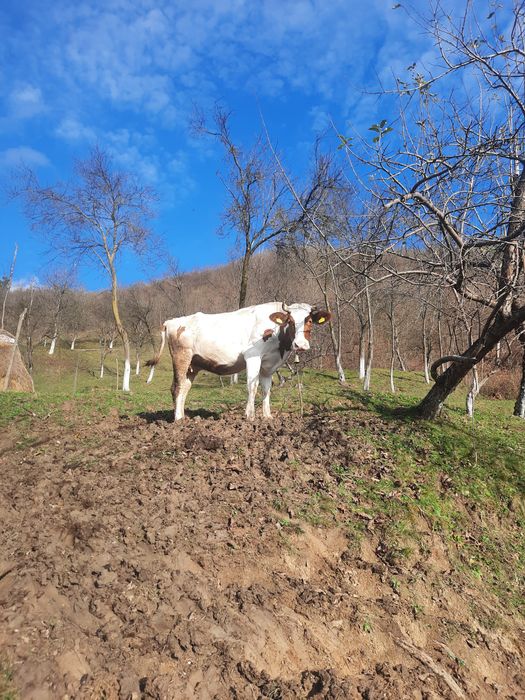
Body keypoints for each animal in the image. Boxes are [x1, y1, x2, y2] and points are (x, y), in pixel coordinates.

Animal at [145, 302, 331, 421]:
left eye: (309, 320)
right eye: (290, 321)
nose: (300, 345)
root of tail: (171, 321)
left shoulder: (269, 365)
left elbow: (266, 389)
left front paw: (268, 417)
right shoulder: (253, 356)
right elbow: (252, 386)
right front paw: (250, 416)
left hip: (194, 364)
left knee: (184, 387)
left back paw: (184, 418)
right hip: (181, 357)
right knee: (176, 387)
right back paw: (178, 420)